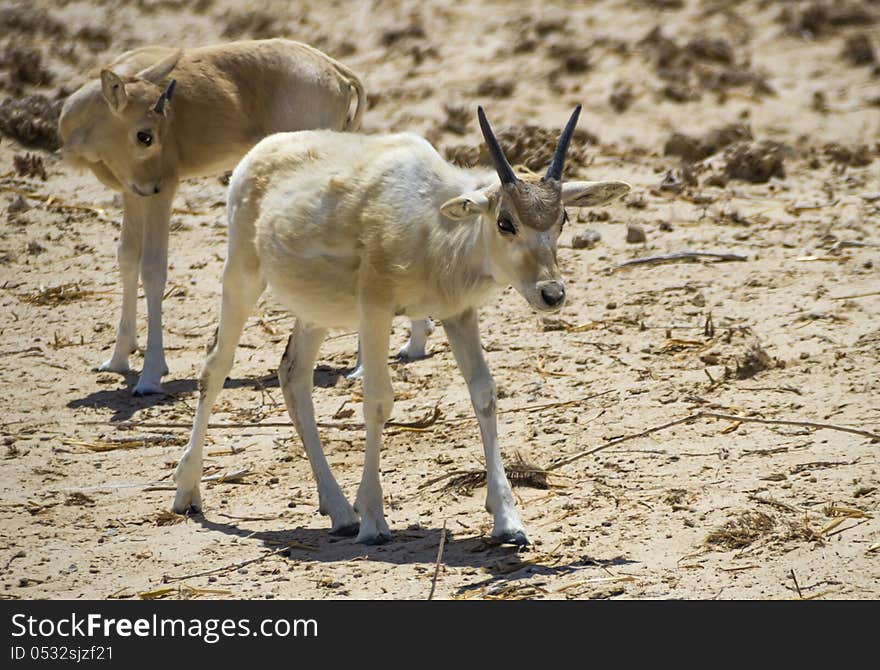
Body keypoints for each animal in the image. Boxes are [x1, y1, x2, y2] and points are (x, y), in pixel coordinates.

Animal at [55, 39, 372, 396]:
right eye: (145, 134)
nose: (155, 183)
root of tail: (333, 70)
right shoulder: (133, 192)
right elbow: (127, 258)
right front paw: (117, 359)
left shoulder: (162, 194)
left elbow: (153, 269)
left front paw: (150, 376)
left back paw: (360, 367)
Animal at [170, 105, 624, 544]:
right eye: (505, 221)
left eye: (562, 219)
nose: (552, 294)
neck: (434, 223)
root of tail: (260, 153)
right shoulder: (376, 309)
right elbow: (378, 400)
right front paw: (373, 519)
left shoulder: (458, 313)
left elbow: (484, 393)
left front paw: (509, 522)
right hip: (242, 274)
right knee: (216, 365)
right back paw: (187, 491)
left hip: (316, 310)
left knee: (293, 375)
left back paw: (338, 510)